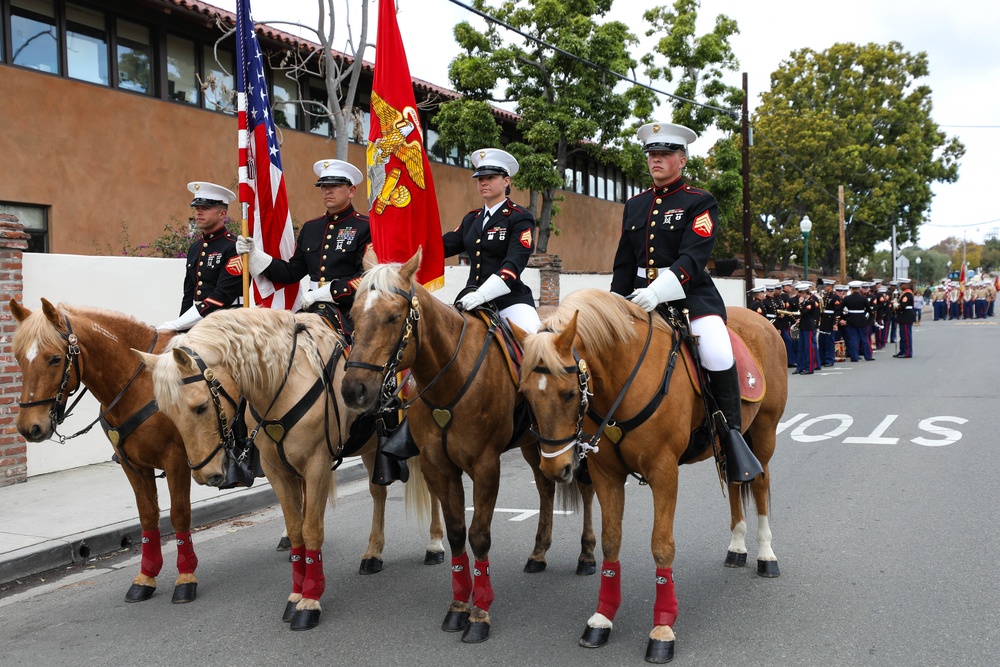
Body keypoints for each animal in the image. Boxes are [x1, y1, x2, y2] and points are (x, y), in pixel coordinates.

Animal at [136, 308, 442, 632]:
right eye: (167, 413)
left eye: (200, 407)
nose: (205, 475)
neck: (285, 383)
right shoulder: (277, 471)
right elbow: (296, 531)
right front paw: (297, 594)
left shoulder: (317, 465)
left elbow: (312, 529)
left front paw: (311, 600)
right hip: (371, 447)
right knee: (378, 493)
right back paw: (373, 553)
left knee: (434, 490)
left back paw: (435, 544)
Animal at [340, 252, 596, 648]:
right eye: (352, 314)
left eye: (393, 316)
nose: (354, 390)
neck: (451, 375)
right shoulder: (438, 467)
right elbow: (458, 532)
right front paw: (459, 606)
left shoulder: (486, 466)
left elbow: (479, 536)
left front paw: (480, 614)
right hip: (536, 444)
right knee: (545, 487)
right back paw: (538, 552)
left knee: (583, 486)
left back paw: (586, 555)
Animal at [516, 290, 788, 664]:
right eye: (526, 393)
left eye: (569, 393)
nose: (555, 470)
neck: (625, 377)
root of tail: (762, 320)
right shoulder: (606, 475)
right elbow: (611, 540)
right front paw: (602, 618)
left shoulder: (664, 472)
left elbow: (662, 546)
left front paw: (662, 628)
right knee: (735, 483)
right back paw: (736, 547)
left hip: (764, 433)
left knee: (759, 484)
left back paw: (765, 554)